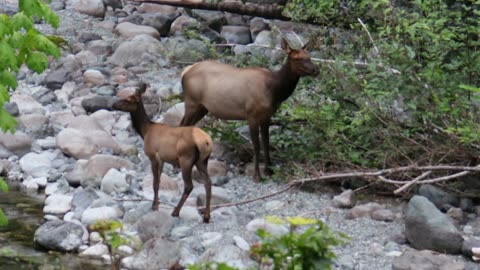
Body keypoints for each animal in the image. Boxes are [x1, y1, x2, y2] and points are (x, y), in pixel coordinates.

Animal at [113, 83, 213, 223]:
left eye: (129, 99)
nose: (113, 104)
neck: (145, 131)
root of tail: (206, 142)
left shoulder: (154, 156)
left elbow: (155, 183)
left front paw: (154, 206)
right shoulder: (163, 159)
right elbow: (159, 182)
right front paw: (155, 204)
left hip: (186, 159)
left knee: (189, 186)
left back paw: (176, 211)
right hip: (202, 161)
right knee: (208, 183)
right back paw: (206, 216)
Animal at [180, 37, 318, 181]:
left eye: (309, 57)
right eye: (296, 59)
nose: (316, 70)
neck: (274, 91)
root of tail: (184, 72)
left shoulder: (267, 116)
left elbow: (266, 142)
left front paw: (269, 170)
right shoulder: (252, 116)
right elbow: (256, 146)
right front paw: (257, 175)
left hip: (202, 107)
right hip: (192, 103)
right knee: (183, 125)